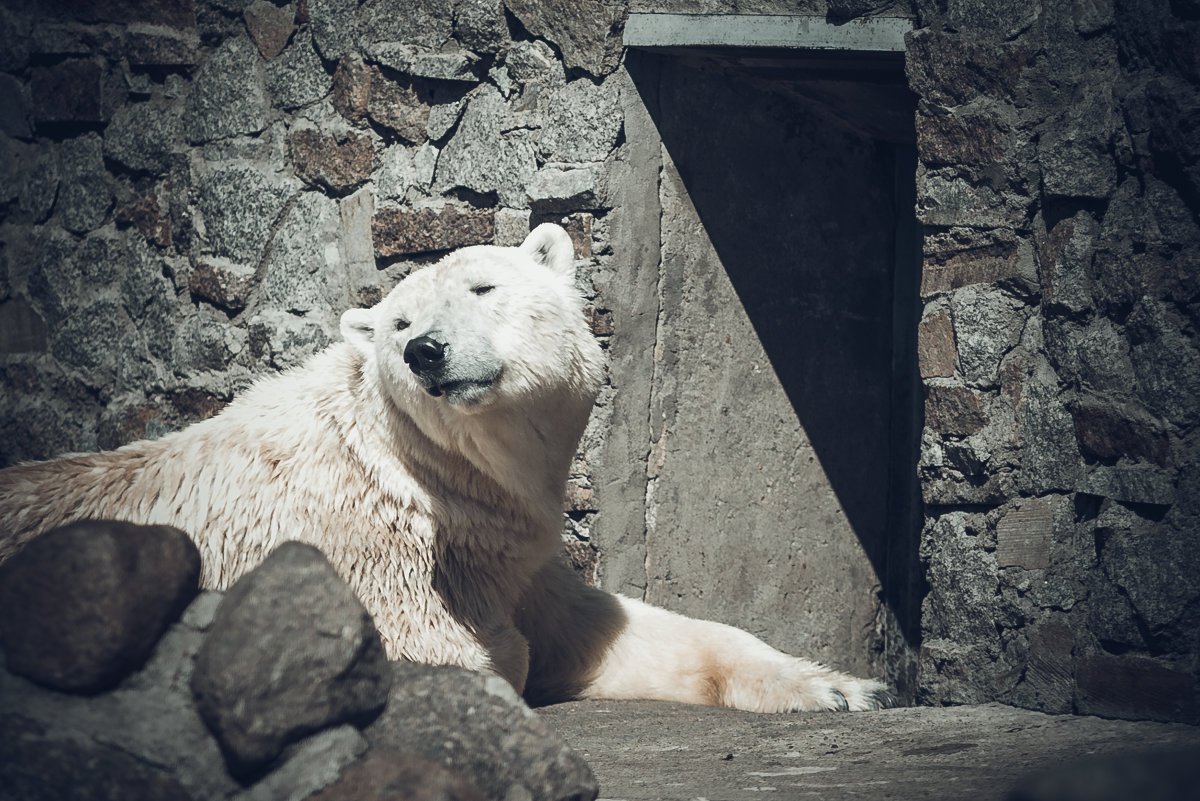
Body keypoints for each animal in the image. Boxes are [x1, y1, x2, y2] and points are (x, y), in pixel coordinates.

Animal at [0, 221, 888, 709]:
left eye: (483, 287)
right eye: (398, 323)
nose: (426, 349)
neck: (429, 486)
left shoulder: (508, 553)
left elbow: (611, 631)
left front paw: (842, 685)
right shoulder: (373, 565)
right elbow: (466, 659)